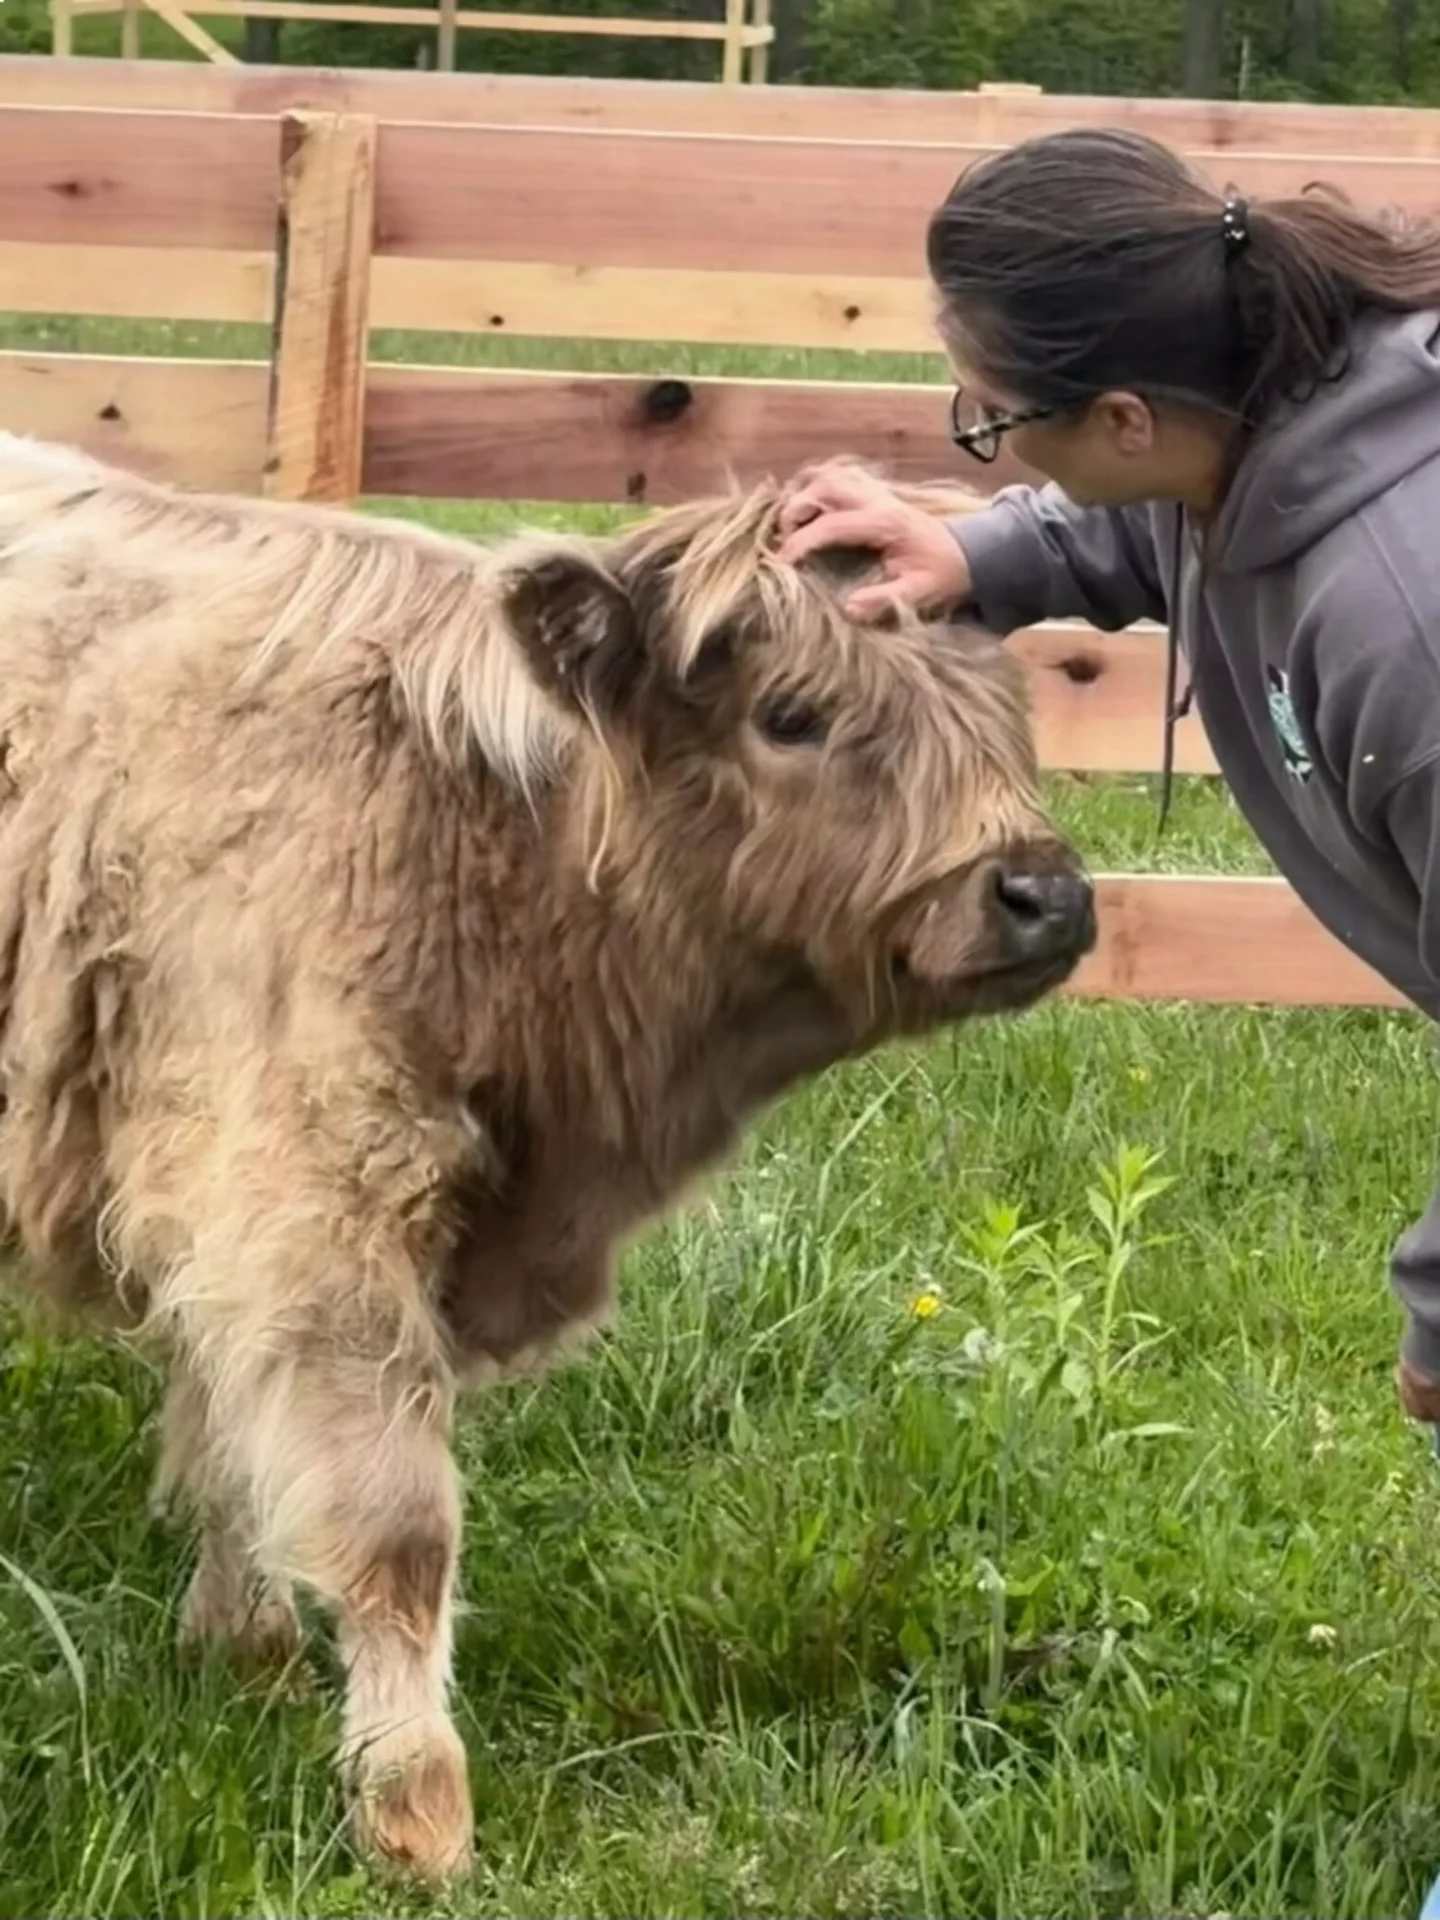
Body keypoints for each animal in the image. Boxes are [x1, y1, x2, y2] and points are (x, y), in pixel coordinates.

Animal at [0, 433, 1095, 1883]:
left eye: (1004, 707)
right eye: (790, 715)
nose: (1045, 898)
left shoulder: (242, 1209)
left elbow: (228, 1428)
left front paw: (241, 1647)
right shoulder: (307, 1193)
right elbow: (393, 1524)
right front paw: (415, 1811)